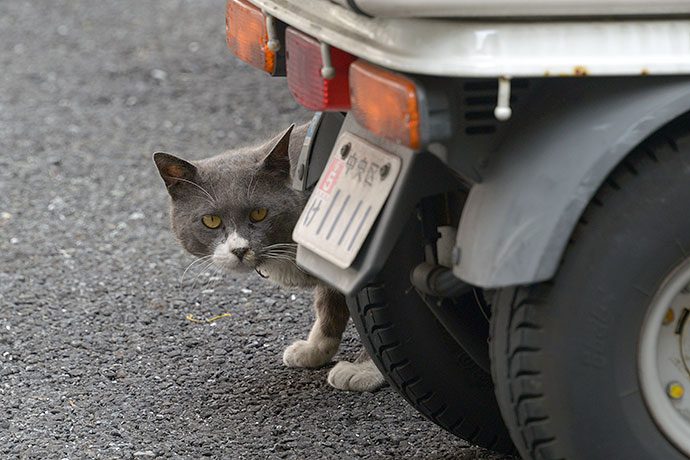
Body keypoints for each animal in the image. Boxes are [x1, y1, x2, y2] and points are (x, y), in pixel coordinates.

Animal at [153, 122, 384, 392]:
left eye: (259, 213)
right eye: (211, 220)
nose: (239, 249)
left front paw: (364, 369)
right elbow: (328, 303)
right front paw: (314, 350)